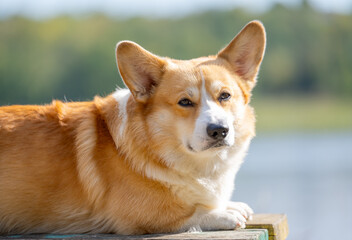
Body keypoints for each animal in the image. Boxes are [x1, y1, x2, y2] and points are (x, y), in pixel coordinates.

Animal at [0, 20, 264, 234]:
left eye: (225, 96)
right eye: (185, 102)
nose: (219, 130)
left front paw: (231, 204)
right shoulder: (141, 216)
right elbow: (190, 213)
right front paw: (224, 213)